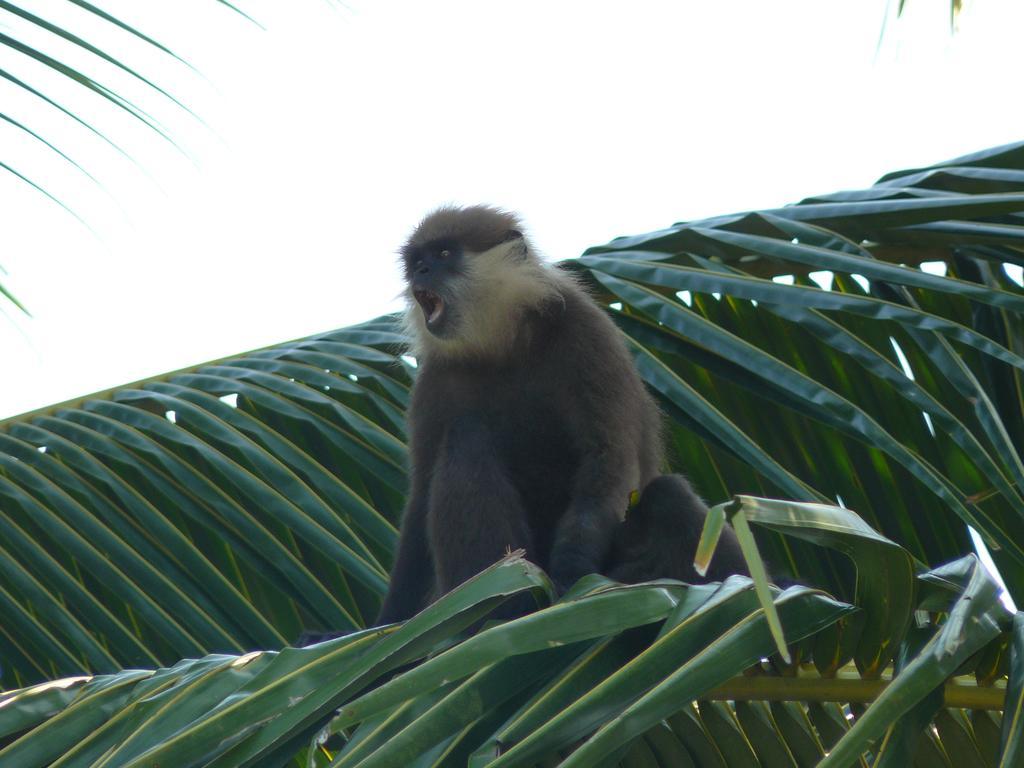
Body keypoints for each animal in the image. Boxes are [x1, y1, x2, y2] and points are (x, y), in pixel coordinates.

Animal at [372, 204, 749, 626]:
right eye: (416, 260)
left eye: (443, 255)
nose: (420, 272)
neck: (503, 346)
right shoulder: (436, 377)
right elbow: (420, 501)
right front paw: (388, 624)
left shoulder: (584, 330)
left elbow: (607, 456)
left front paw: (572, 574)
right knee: (467, 436)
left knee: (669, 496)